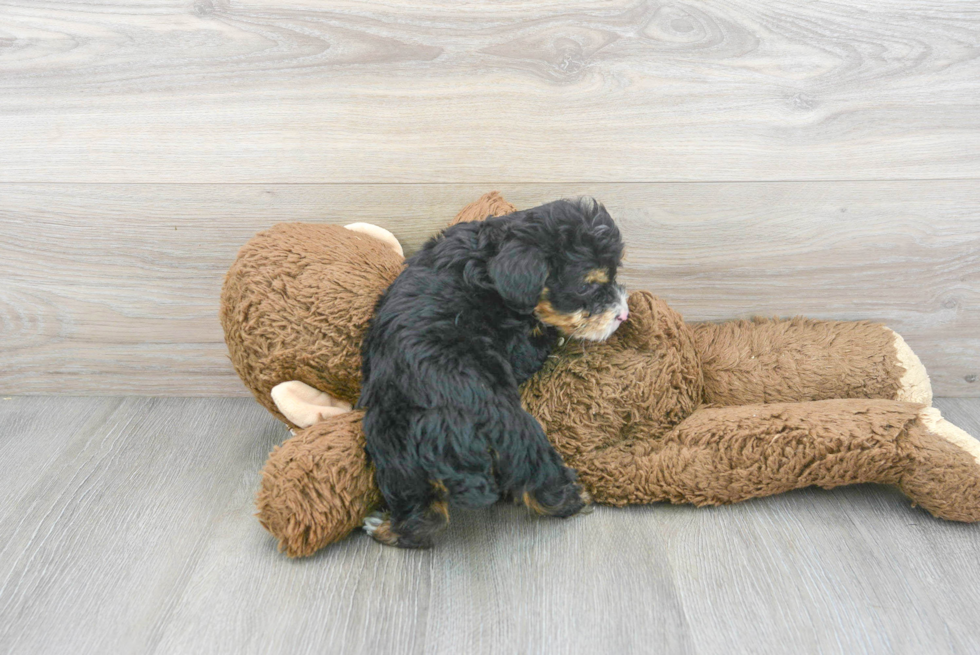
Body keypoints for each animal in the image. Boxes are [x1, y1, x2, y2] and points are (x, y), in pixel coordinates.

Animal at [360, 199, 628, 548]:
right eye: (587, 286)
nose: (624, 314)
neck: (488, 261)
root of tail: (457, 434)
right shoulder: (520, 344)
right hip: (504, 437)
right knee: (539, 480)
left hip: (396, 450)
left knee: (424, 515)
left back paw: (385, 527)